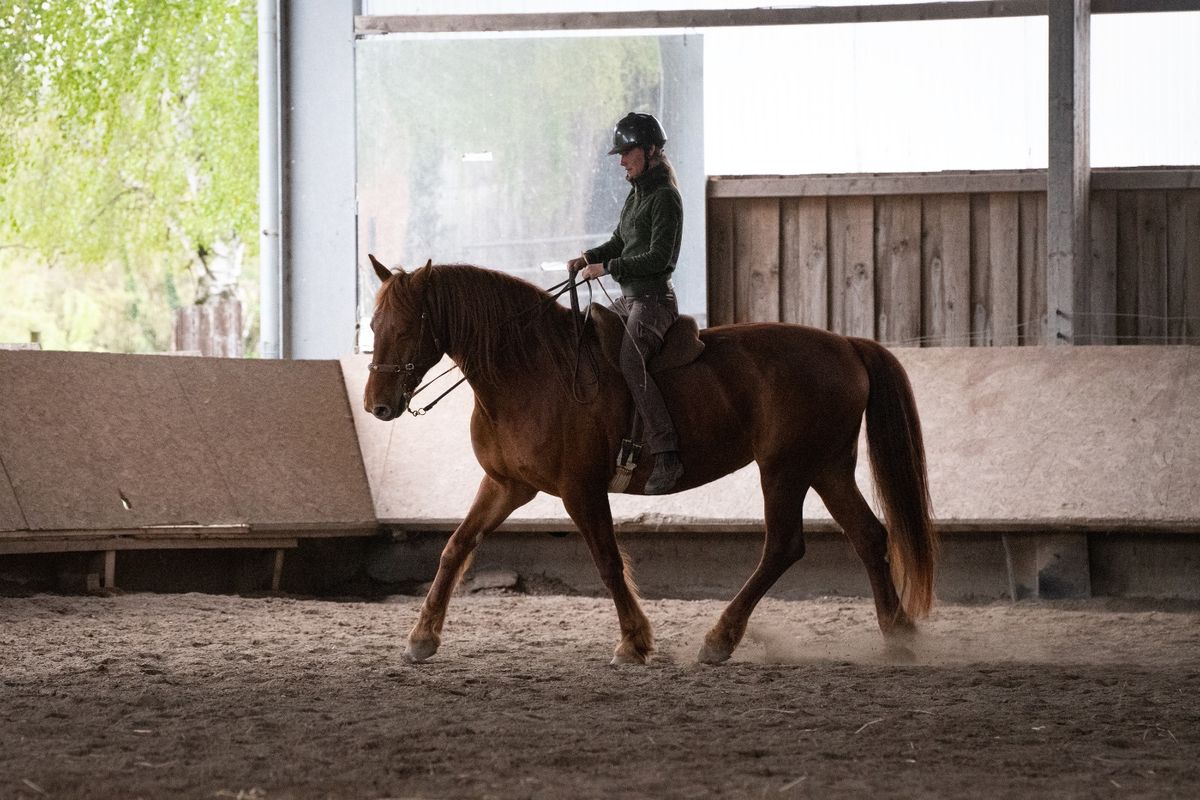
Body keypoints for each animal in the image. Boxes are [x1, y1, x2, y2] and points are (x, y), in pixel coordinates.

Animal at [364, 255, 936, 662]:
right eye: (373, 325)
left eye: (407, 327)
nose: (377, 406)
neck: (531, 370)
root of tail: (846, 344)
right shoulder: (506, 484)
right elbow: (455, 548)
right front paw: (421, 638)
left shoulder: (580, 489)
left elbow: (608, 561)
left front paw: (634, 642)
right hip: (827, 466)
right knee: (869, 535)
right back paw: (897, 634)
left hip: (785, 469)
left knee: (783, 546)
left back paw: (719, 639)